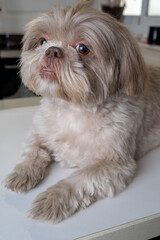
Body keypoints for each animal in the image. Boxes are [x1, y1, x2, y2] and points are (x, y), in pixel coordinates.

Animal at [5, 0, 160, 223]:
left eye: (83, 48)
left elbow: (79, 180)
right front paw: (22, 174)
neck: (73, 108)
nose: (52, 50)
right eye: (42, 41)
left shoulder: (114, 165)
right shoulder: (38, 133)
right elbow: (32, 151)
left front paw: (52, 200)